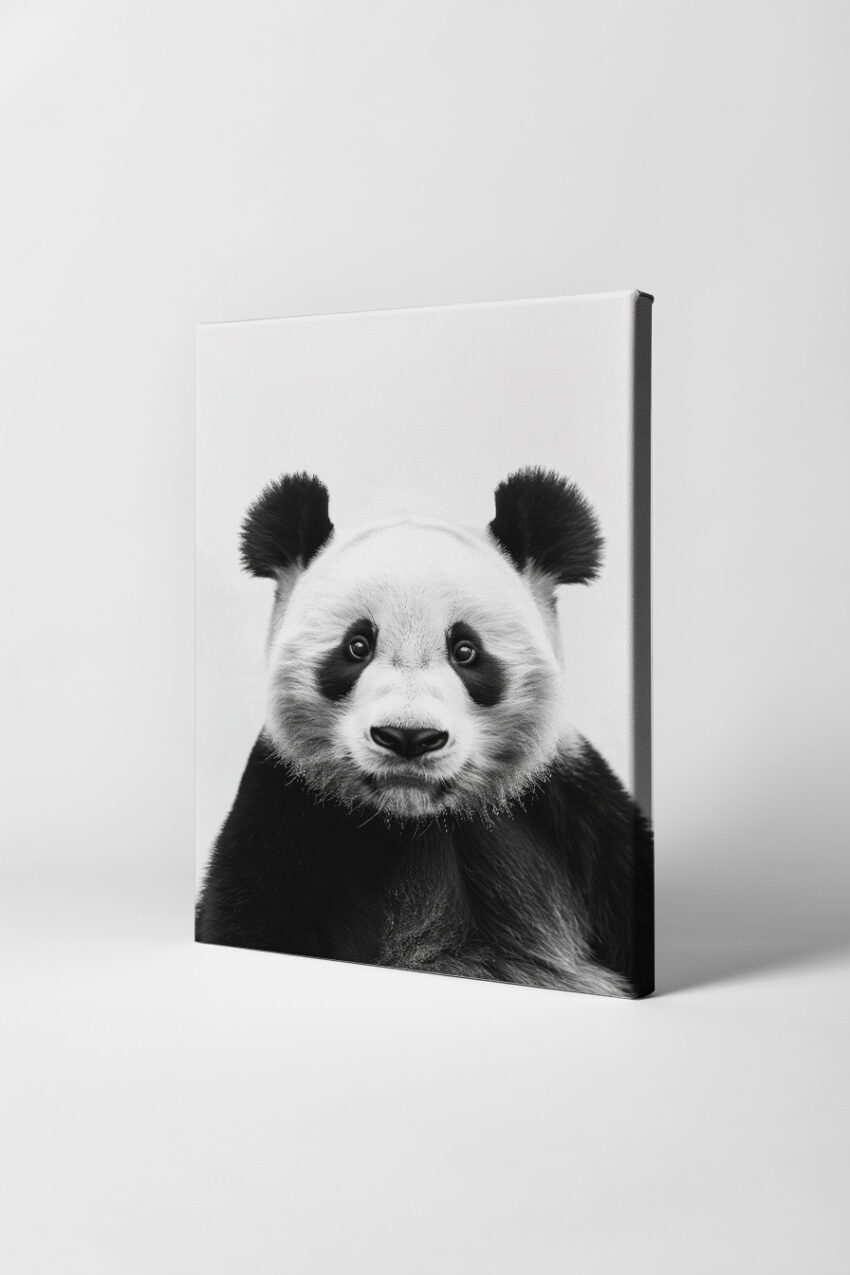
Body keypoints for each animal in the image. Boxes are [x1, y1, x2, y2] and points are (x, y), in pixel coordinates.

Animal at [196, 468, 654, 998]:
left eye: (466, 651)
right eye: (356, 646)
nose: (408, 737)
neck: (415, 821)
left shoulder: (570, 806)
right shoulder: (284, 812)